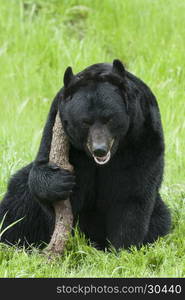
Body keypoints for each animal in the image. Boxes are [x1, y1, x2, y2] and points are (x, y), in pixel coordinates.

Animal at [0, 59, 171, 250]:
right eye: (85, 122)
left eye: (109, 118)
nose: (100, 149)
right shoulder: (59, 127)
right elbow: (57, 189)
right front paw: (60, 182)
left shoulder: (142, 136)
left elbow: (133, 193)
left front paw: (122, 248)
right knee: (17, 200)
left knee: (160, 218)